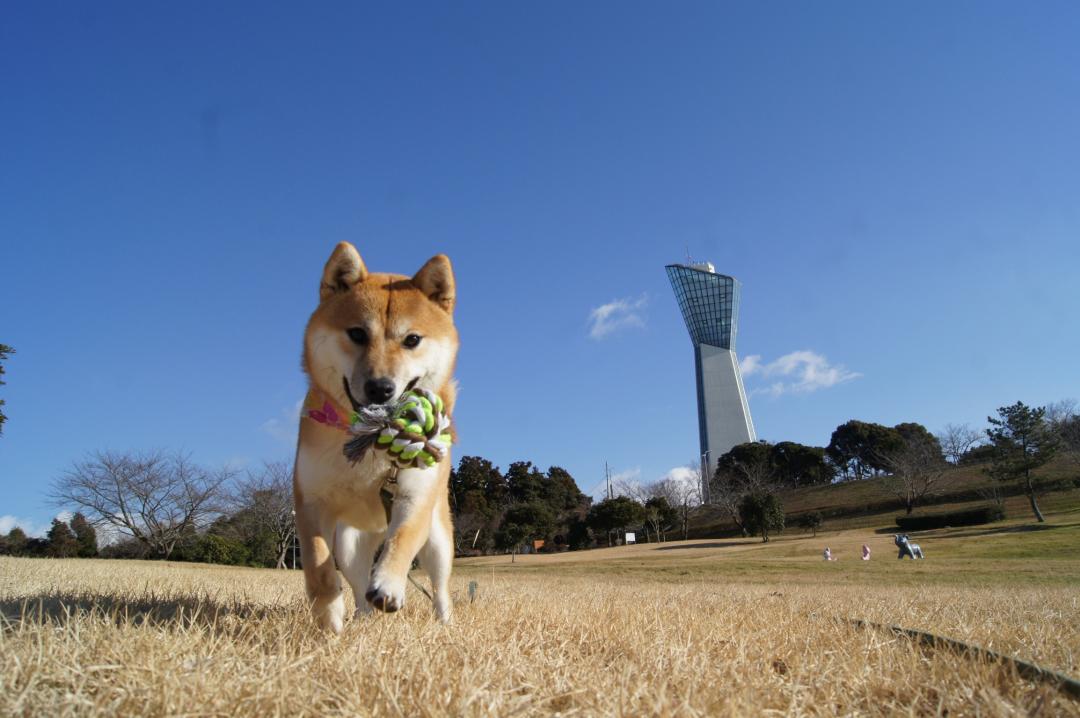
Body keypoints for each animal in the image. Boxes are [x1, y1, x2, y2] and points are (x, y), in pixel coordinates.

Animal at [295, 241, 460, 626]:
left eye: (412, 339)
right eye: (357, 333)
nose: (380, 388)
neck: (369, 440)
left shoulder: (414, 497)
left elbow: (402, 540)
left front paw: (388, 585)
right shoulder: (310, 501)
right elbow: (318, 564)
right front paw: (328, 613)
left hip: (438, 539)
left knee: (440, 586)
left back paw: (445, 623)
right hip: (350, 543)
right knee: (357, 586)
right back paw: (362, 619)